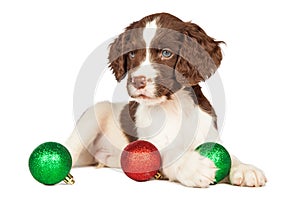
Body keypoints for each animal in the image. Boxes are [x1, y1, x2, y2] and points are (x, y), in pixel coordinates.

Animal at [64, 12, 266, 188]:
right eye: (131, 54)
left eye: (166, 53)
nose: (137, 81)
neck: (175, 107)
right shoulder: (151, 147)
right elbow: (171, 154)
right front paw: (194, 167)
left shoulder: (210, 135)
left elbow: (232, 156)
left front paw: (245, 169)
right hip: (93, 116)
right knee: (70, 148)